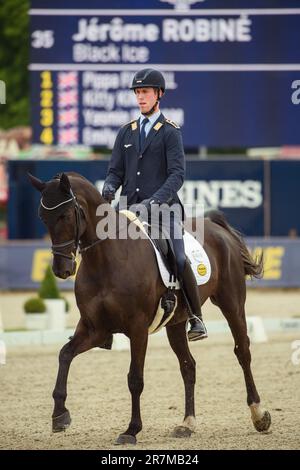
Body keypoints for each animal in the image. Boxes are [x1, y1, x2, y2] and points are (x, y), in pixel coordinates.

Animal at [29, 172, 270, 444]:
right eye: (43, 217)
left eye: (66, 215)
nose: (62, 270)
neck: (107, 258)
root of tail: (217, 227)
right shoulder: (94, 329)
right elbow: (64, 354)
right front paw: (60, 415)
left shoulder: (137, 329)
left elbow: (135, 379)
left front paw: (131, 430)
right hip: (176, 323)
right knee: (188, 366)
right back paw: (187, 424)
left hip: (231, 303)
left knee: (242, 352)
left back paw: (259, 414)